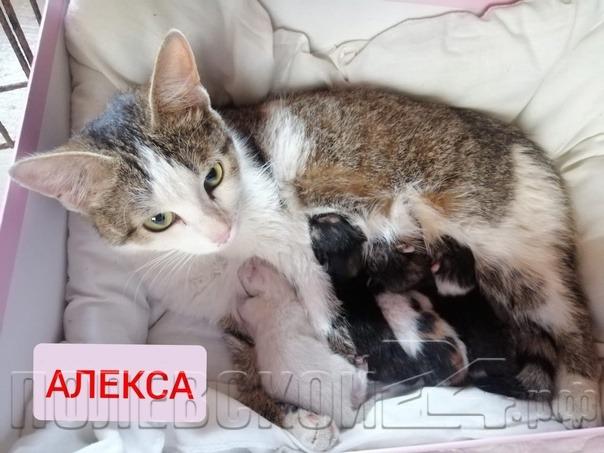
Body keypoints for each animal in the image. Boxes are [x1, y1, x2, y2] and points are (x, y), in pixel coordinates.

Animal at [10, 30, 600, 430]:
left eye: (212, 175)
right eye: (158, 220)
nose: (221, 229)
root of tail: (518, 141)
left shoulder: (298, 229)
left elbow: (320, 291)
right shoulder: (226, 309)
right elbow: (251, 365)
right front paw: (284, 413)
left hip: (502, 232)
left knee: (568, 314)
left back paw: (579, 393)